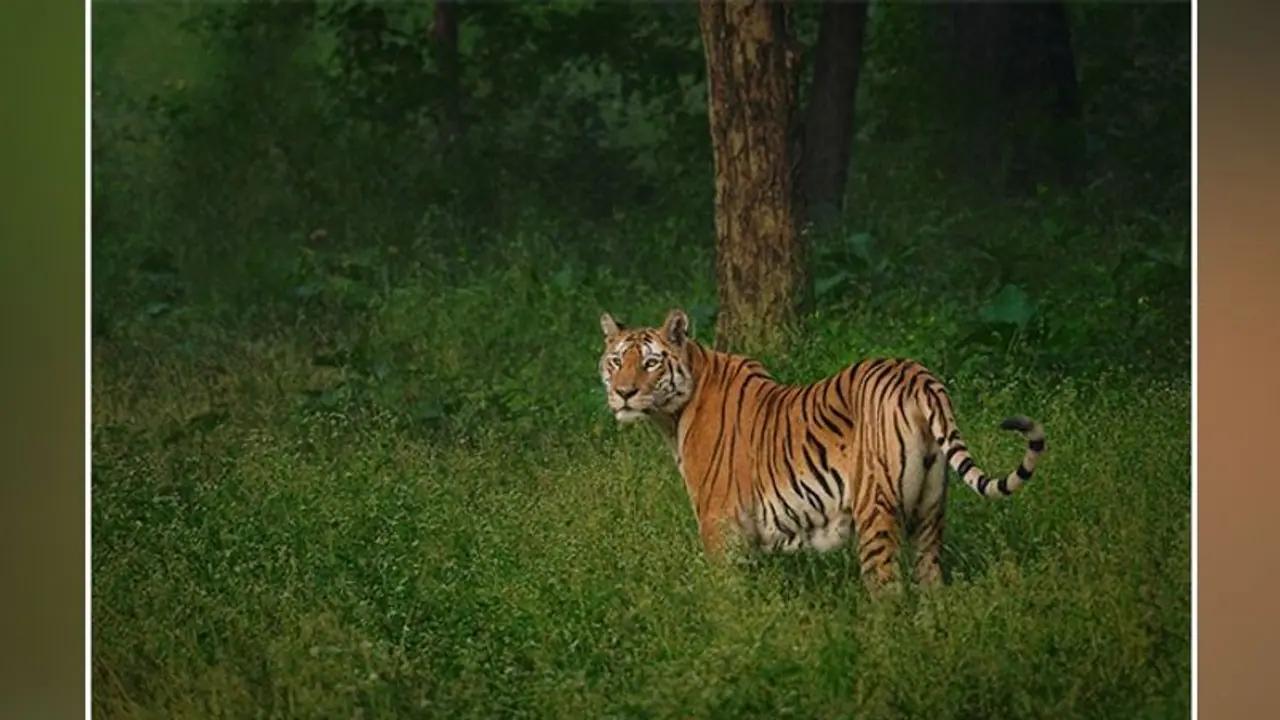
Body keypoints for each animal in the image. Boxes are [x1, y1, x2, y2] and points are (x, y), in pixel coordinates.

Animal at [597, 308, 1046, 592]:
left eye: (651, 363)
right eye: (616, 361)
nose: (623, 393)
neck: (671, 417)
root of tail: (916, 375)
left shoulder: (719, 525)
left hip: (875, 510)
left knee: (889, 595)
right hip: (930, 512)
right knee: (932, 587)